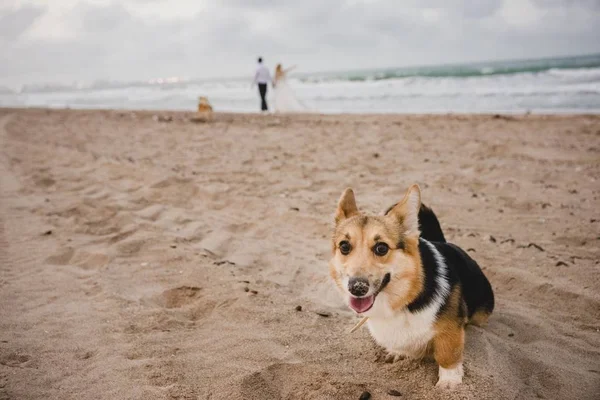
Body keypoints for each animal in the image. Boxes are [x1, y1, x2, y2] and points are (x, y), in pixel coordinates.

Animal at [330, 186, 494, 390]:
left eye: (381, 248)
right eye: (344, 246)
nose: (357, 288)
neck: (405, 298)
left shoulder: (450, 327)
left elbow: (447, 352)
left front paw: (449, 383)